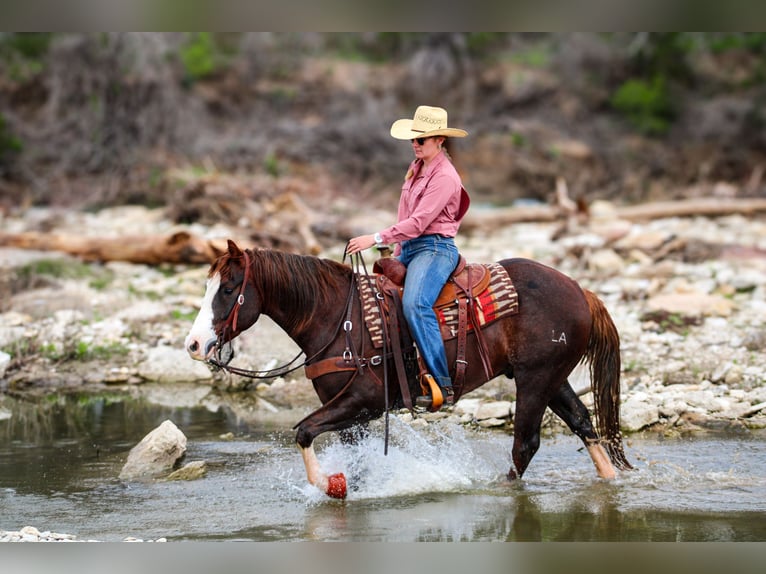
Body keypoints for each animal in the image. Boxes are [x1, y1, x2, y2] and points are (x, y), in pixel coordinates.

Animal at [184, 240, 632, 500]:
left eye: (229, 289)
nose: (194, 344)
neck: (339, 319)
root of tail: (580, 291)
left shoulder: (363, 402)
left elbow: (304, 431)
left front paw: (331, 484)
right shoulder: (350, 415)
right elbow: (356, 460)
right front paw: (351, 487)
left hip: (535, 380)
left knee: (526, 443)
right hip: (553, 378)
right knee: (584, 423)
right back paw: (611, 481)